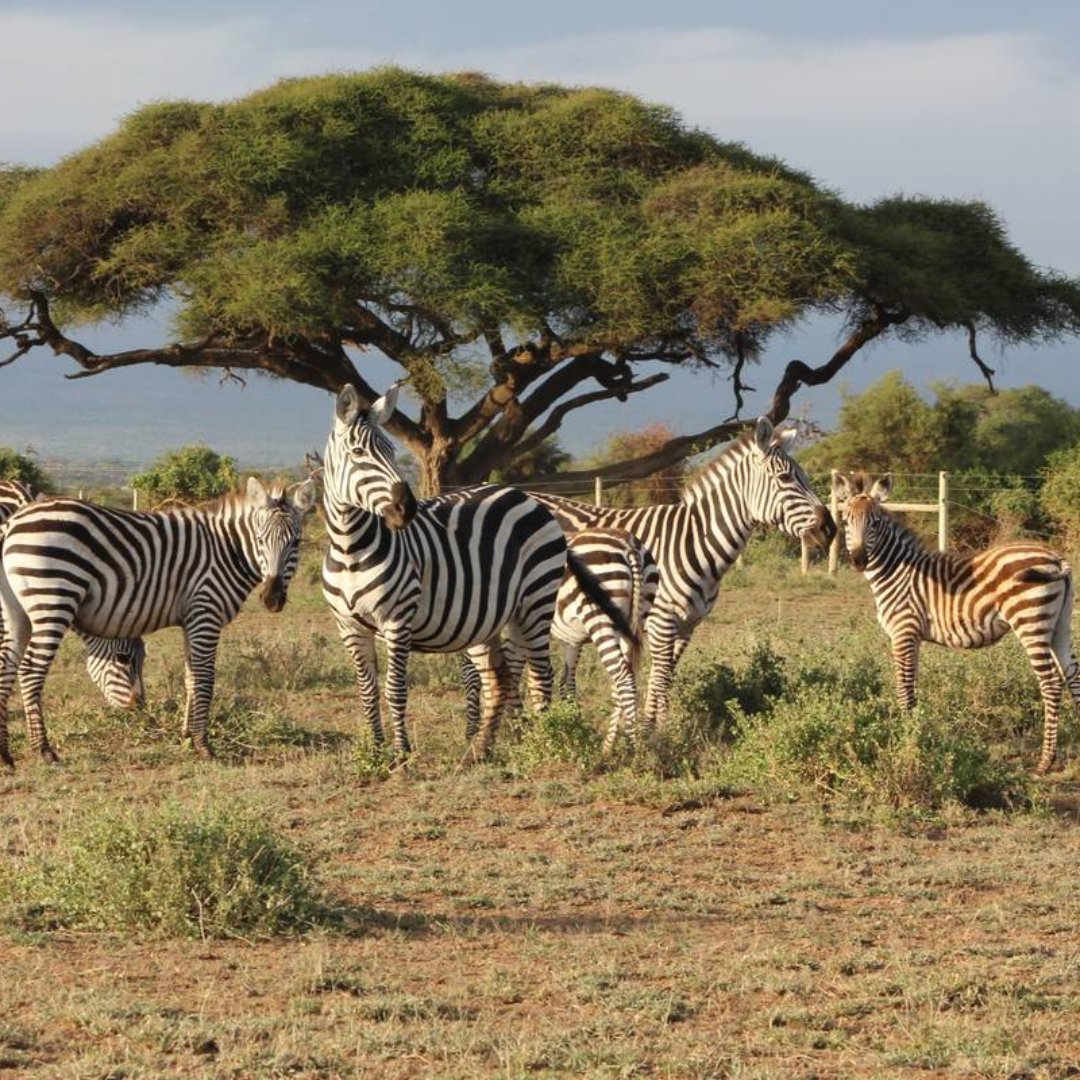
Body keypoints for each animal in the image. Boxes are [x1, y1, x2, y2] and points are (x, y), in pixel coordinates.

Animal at [321, 382, 635, 761]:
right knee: (501, 679)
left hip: (536, 601)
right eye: (357, 452)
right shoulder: (348, 626)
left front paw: (402, 755)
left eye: (391, 451)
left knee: (541, 675)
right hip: (494, 617)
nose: (406, 508)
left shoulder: (397, 619)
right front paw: (377, 751)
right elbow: (367, 691)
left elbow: (395, 688)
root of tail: (528, 498)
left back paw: (546, 743)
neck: (351, 549)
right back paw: (481, 749)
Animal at [463, 525, 660, 749]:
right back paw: (609, 746)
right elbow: (557, 681)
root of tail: (629, 546)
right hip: (634, 619)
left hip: (599, 617)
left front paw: (520, 729)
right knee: (622, 679)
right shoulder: (562, 637)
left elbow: (503, 673)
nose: (469, 734)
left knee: (624, 678)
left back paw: (633, 747)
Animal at [526, 417, 836, 730]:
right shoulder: (661, 621)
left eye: (805, 477)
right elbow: (659, 678)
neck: (695, 542)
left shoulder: (688, 626)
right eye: (785, 479)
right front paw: (653, 732)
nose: (830, 529)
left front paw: (658, 728)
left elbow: (666, 679)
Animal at [834, 471, 1080, 774]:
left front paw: (907, 739)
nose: (858, 560)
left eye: (875, 522)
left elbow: (903, 688)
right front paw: (918, 733)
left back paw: (1045, 761)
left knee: (1051, 683)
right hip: (1060, 624)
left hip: (1030, 621)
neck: (896, 571)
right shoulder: (914, 638)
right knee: (1073, 675)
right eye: (846, 521)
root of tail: (1055, 558)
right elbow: (913, 686)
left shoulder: (903, 631)